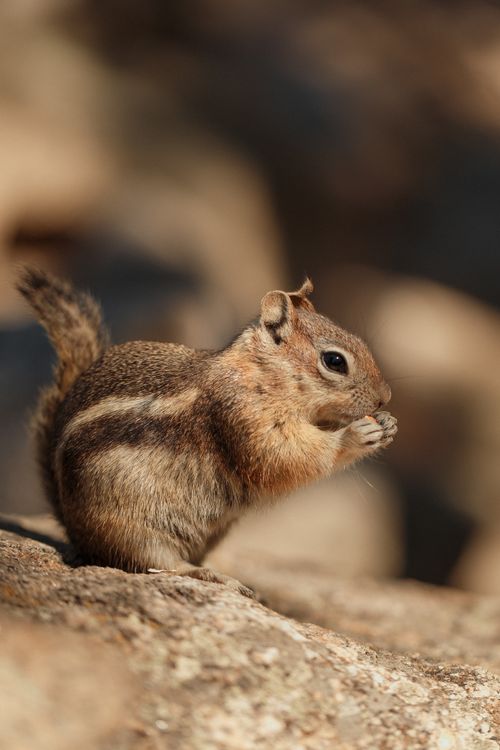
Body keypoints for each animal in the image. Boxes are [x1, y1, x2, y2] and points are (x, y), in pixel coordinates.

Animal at [17, 268, 397, 596]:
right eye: (335, 361)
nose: (385, 397)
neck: (261, 374)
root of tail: (72, 527)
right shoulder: (242, 415)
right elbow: (285, 457)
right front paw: (354, 435)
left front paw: (388, 423)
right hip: (128, 526)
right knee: (155, 563)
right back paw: (213, 576)